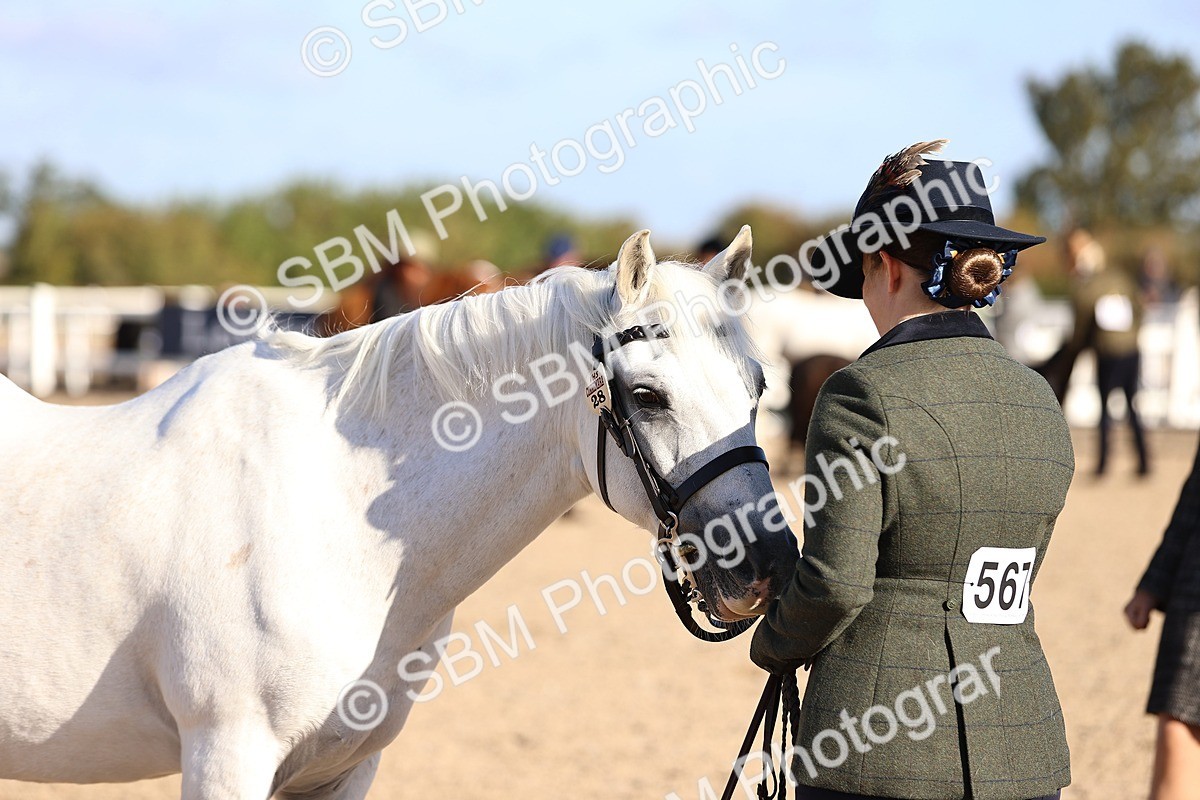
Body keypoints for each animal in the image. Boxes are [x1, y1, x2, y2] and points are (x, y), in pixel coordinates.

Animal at [0, 228, 798, 799]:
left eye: (758, 385)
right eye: (648, 396)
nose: (768, 565)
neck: (331, 511)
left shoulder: (343, 768)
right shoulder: (226, 754)